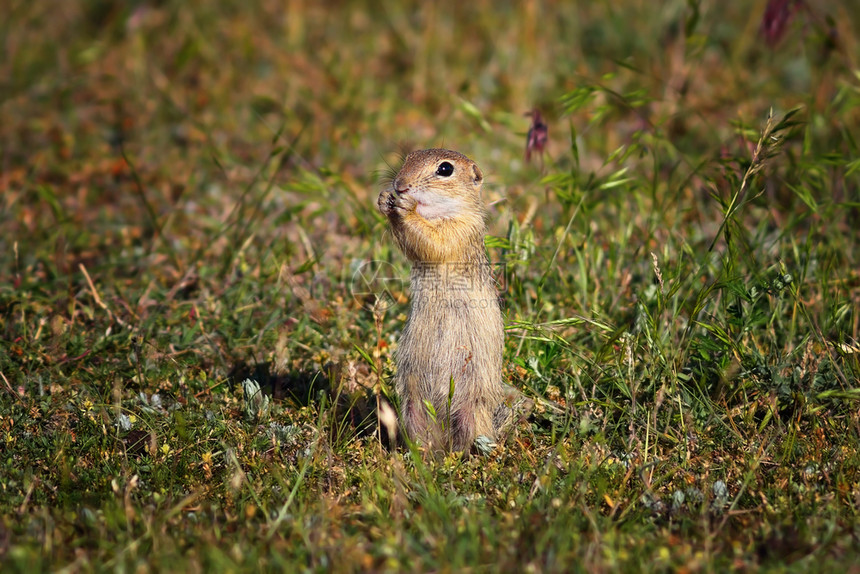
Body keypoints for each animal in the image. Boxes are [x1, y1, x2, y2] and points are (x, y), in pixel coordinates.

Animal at [376, 148, 504, 454]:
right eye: (408, 157)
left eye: (445, 169)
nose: (400, 185)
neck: (435, 212)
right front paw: (385, 200)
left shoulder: (459, 229)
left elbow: (434, 241)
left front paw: (404, 208)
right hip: (412, 408)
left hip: (471, 410)